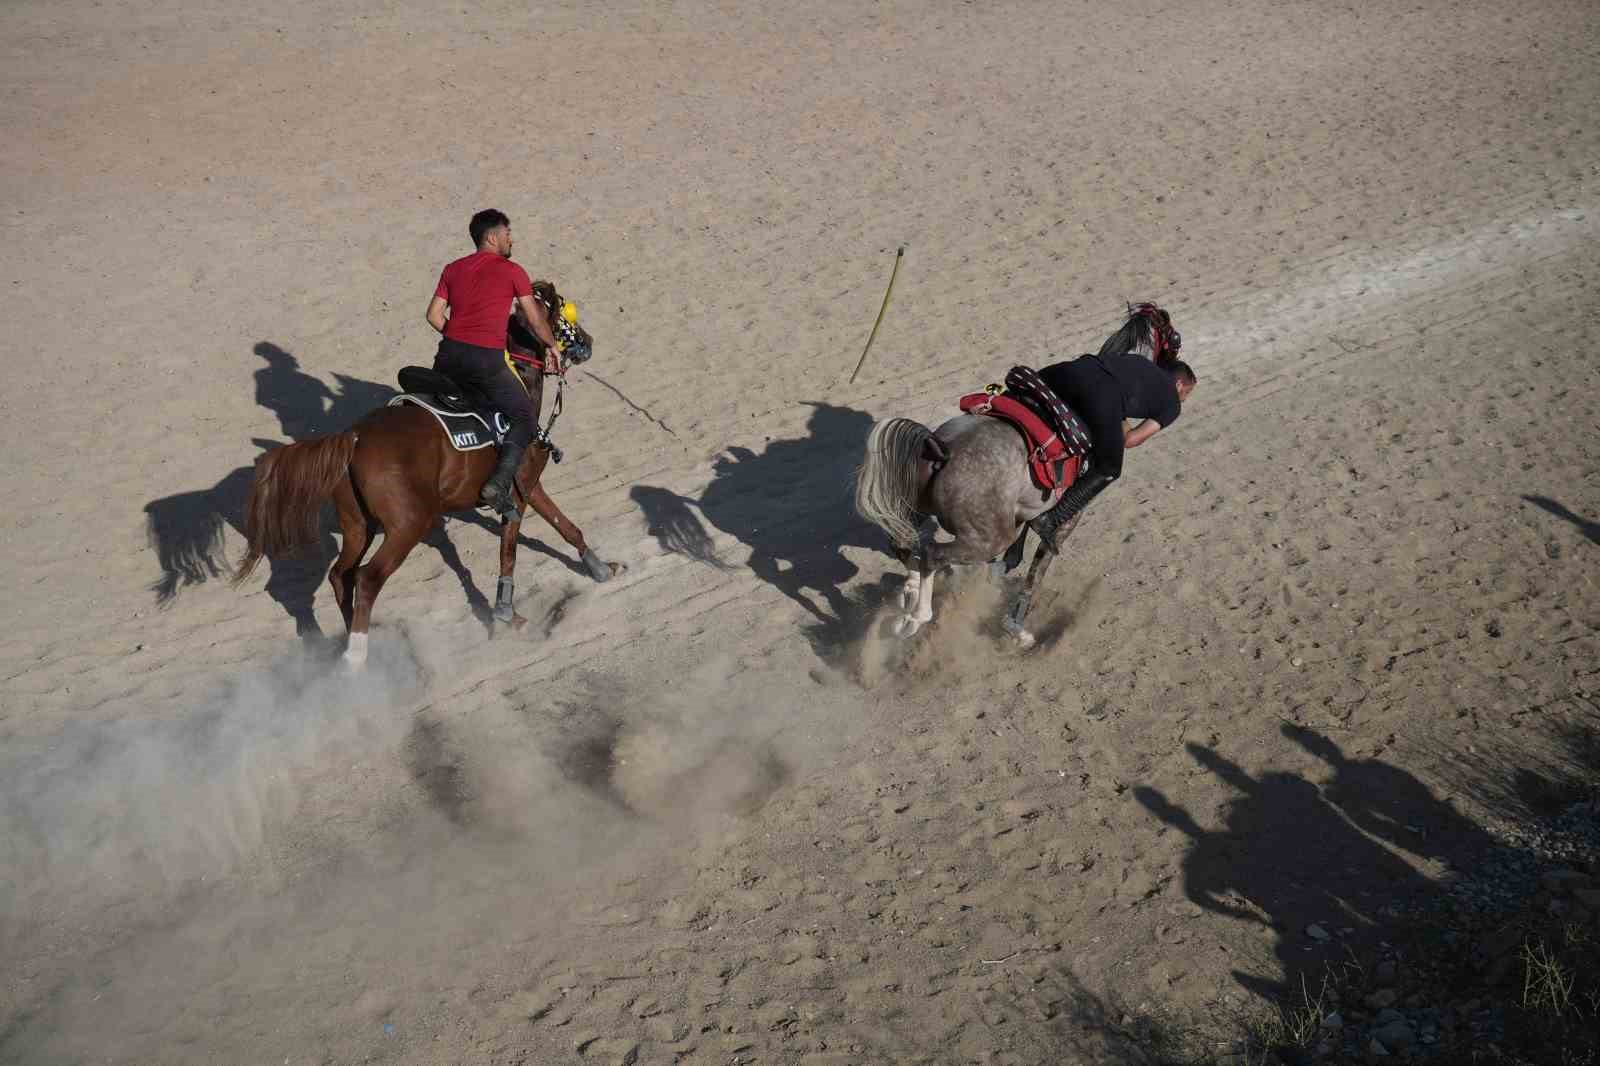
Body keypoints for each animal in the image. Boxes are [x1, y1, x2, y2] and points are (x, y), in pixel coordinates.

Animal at [232, 281, 617, 665]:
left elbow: (560, 526)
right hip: (407, 526)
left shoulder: (525, 489)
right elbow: (516, 547)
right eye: (564, 313)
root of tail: (354, 437)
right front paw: (509, 611)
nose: (588, 340)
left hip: (358, 525)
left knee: (342, 575)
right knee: (368, 578)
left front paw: (598, 569)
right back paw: (358, 658)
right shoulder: (521, 489)